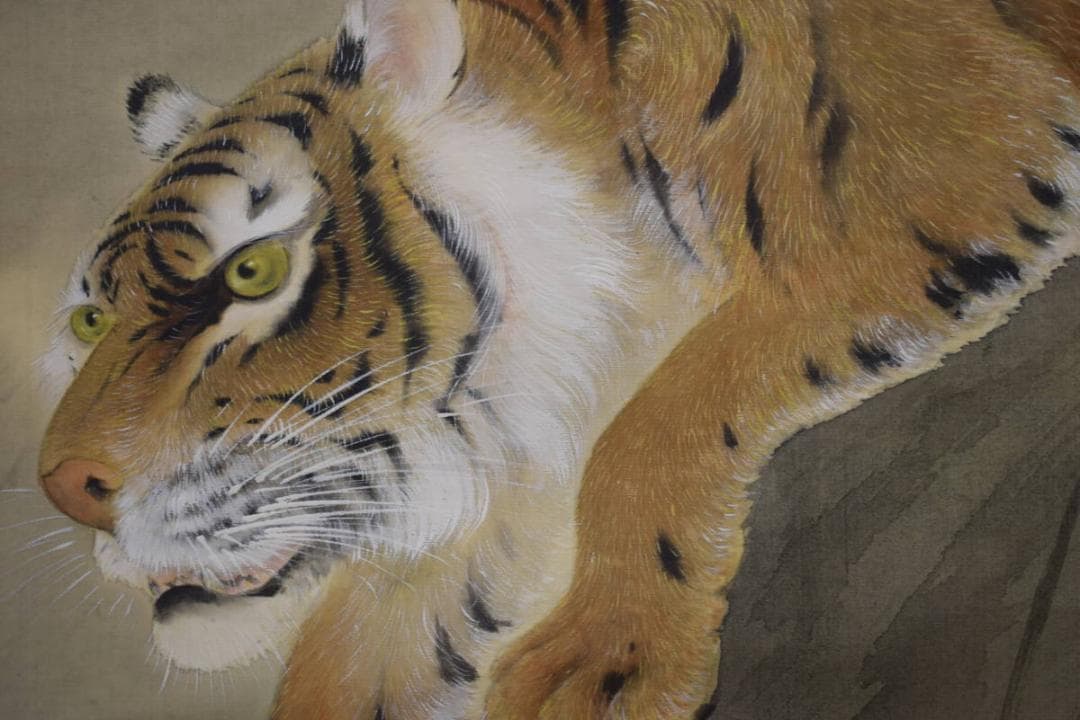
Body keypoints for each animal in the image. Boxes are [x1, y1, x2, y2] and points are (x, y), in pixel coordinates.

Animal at [36, 0, 1080, 717]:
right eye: (90, 321)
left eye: (252, 270)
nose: (63, 489)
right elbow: (362, 640)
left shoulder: (958, 169)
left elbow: (664, 413)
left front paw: (607, 662)